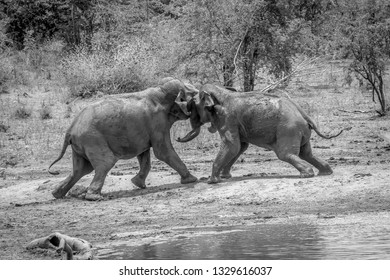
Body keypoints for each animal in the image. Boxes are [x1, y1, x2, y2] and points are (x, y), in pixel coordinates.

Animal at [48, 77, 198, 200]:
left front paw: (138, 184)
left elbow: (144, 155)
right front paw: (192, 180)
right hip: (92, 139)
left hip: (81, 144)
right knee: (105, 163)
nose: (179, 138)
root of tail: (70, 129)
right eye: (194, 98)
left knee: (81, 169)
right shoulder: (158, 122)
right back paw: (95, 197)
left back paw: (57, 194)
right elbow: (162, 152)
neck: (160, 90)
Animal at [175, 83, 346, 184]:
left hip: (288, 130)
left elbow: (232, 145)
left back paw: (307, 175)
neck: (221, 92)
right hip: (298, 131)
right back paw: (325, 172)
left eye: (192, 105)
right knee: (306, 153)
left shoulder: (227, 119)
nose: (177, 137)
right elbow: (240, 147)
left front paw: (212, 181)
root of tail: (304, 115)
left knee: (285, 154)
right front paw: (224, 178)